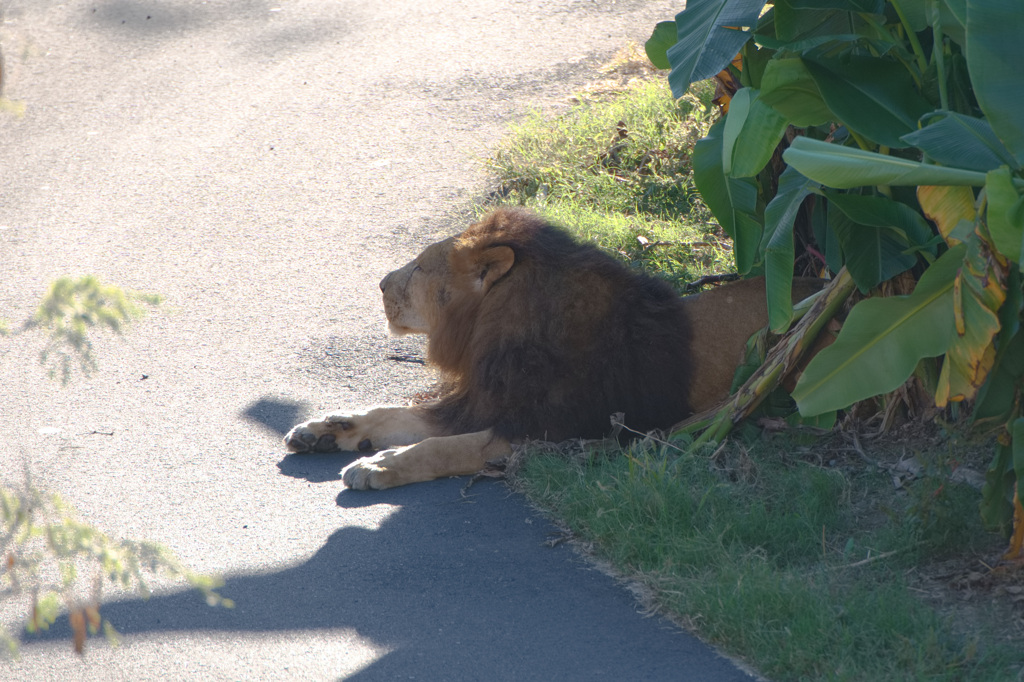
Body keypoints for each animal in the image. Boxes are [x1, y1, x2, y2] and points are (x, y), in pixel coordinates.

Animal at [284, 208, 819, 489]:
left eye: (417, 268)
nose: (379, 284)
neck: (490, 329)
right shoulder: (484, 401)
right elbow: (389, 413)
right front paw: (326, 429)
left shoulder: (547, 430)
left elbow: (441, 447)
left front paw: (379, 465)